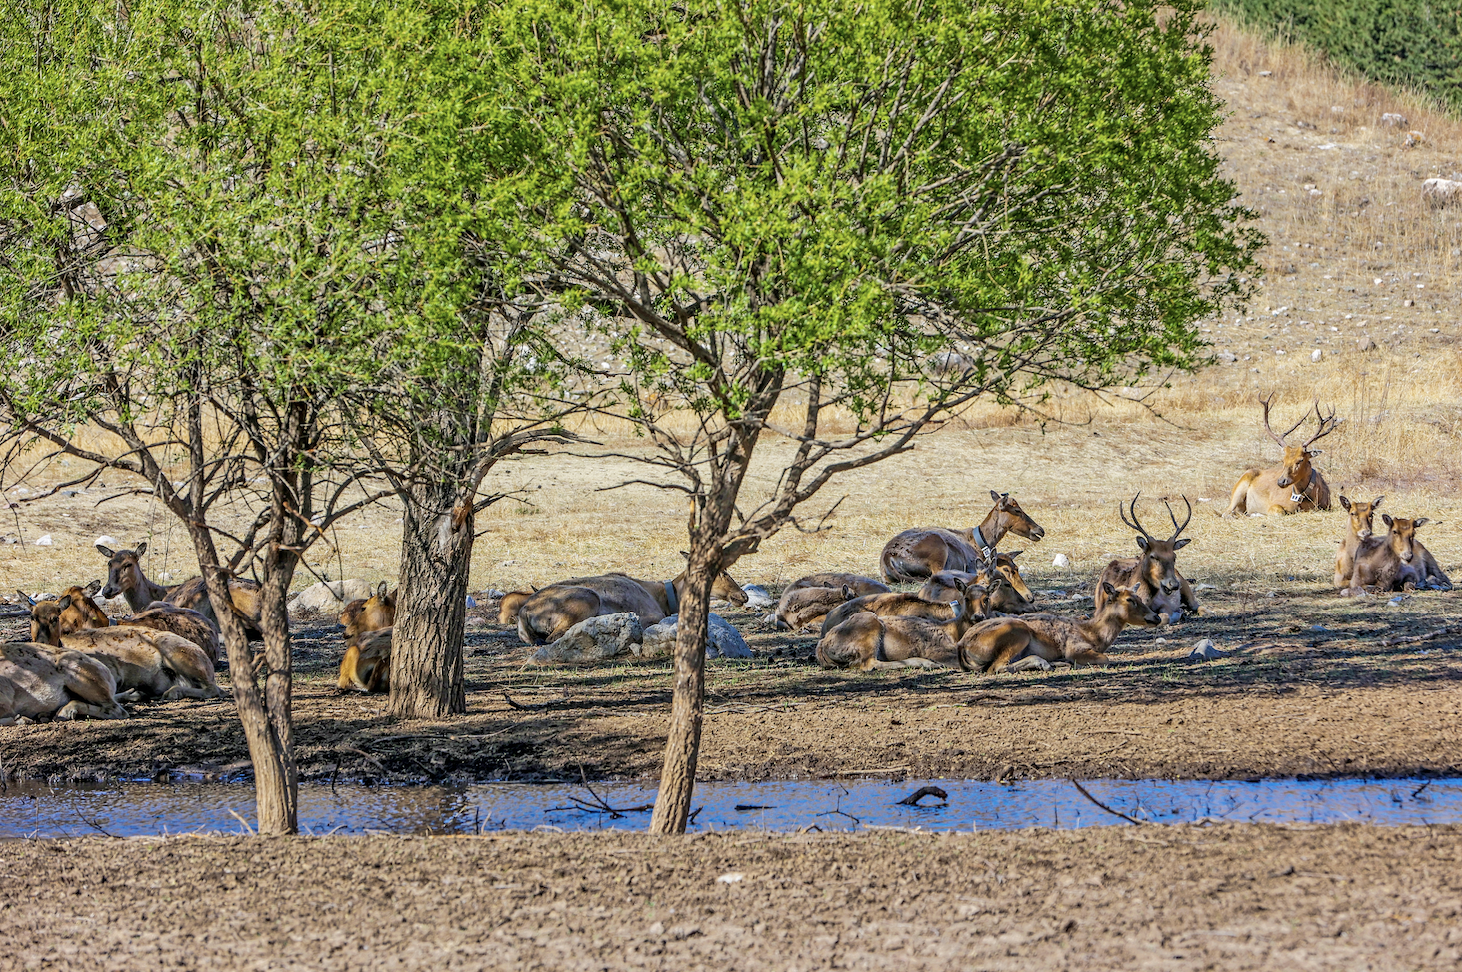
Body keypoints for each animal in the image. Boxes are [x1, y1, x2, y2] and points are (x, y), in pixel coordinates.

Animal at [514, 558, 748, 648]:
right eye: (723, 571)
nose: (742, 596)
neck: (665, 597)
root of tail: (524, 612)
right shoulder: (650, 616)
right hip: (587, 599)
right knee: (553, 637)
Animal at [959, 578, 1163, 672]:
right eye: (1130, 600)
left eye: (1139, 597)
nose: (1156, 617)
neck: (1092, 634)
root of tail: (963, 646)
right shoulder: (1075, 647)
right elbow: (1106, 659)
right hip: (1018, 631)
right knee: (997, 667)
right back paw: (1047, 663)